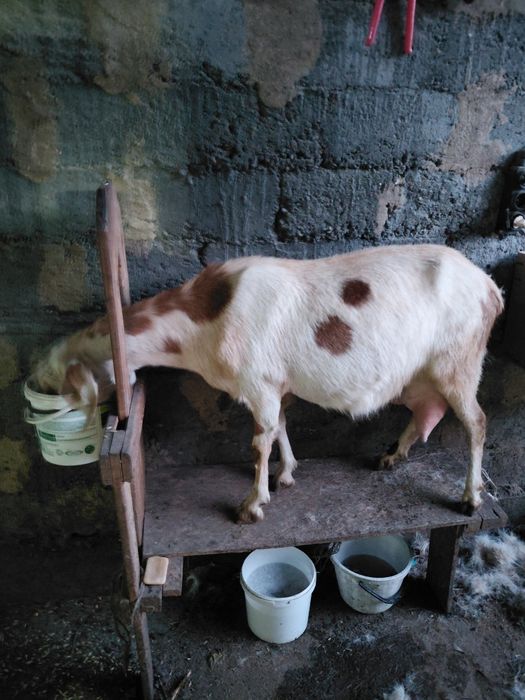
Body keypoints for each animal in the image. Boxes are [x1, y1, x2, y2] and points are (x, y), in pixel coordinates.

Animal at [33, 244, 503, 522]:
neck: (206, 319)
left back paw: (470, 498)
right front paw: (286, 474)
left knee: (476, 422)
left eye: (57, 386)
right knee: (428, 410)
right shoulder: (275, 383)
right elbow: (280, 427)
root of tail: (490, 287)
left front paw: (251, 505)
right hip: (424, 374)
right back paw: (391, 456)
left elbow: (260, 440)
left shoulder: (258, 381)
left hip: (461, 359)